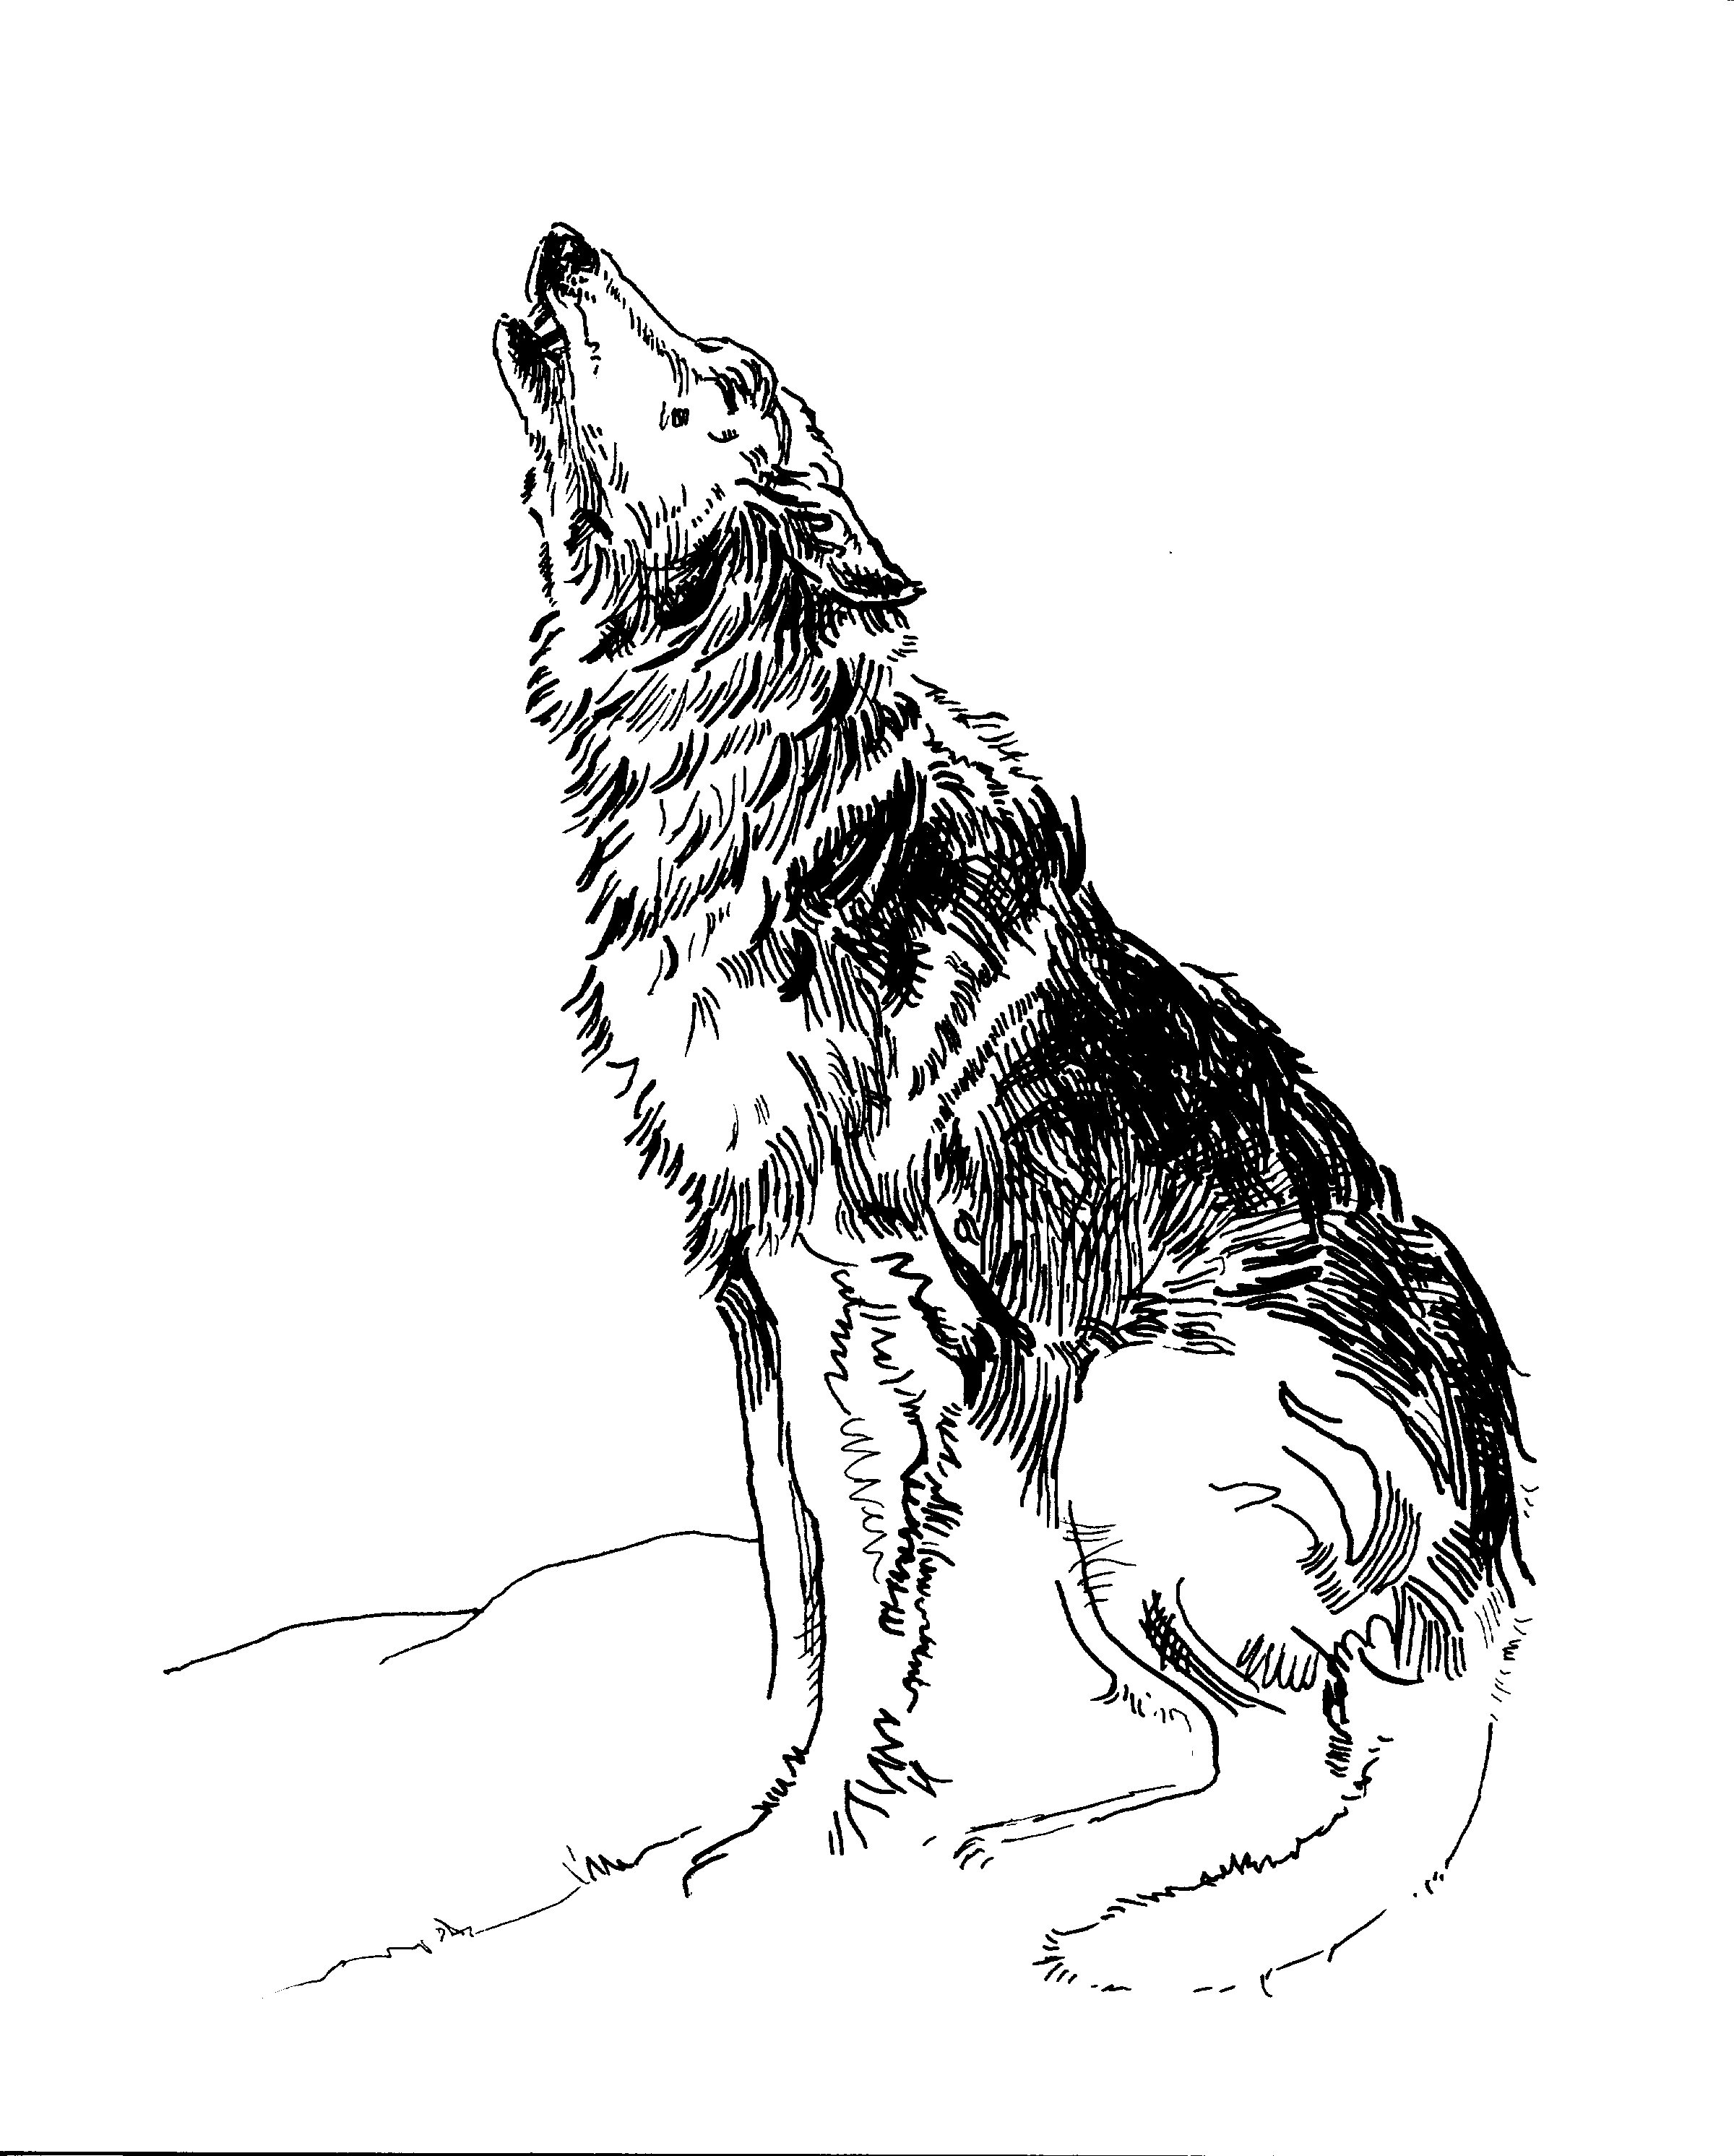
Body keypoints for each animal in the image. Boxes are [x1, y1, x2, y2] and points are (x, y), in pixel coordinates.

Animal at [493, 223, 1531, 1992]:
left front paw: (796, 1846)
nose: (563, 240)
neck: (741, 742)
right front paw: (731, 1815)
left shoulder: (855, 1304)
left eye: (711, 381)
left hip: (1121, 1405)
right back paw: (1042, 1841)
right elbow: (795, 1599)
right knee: (1247, 1745)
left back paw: (1081, 1891)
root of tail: (1478, 1586)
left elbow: (860, 1618)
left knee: (1294, 1749)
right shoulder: (752, 1295)